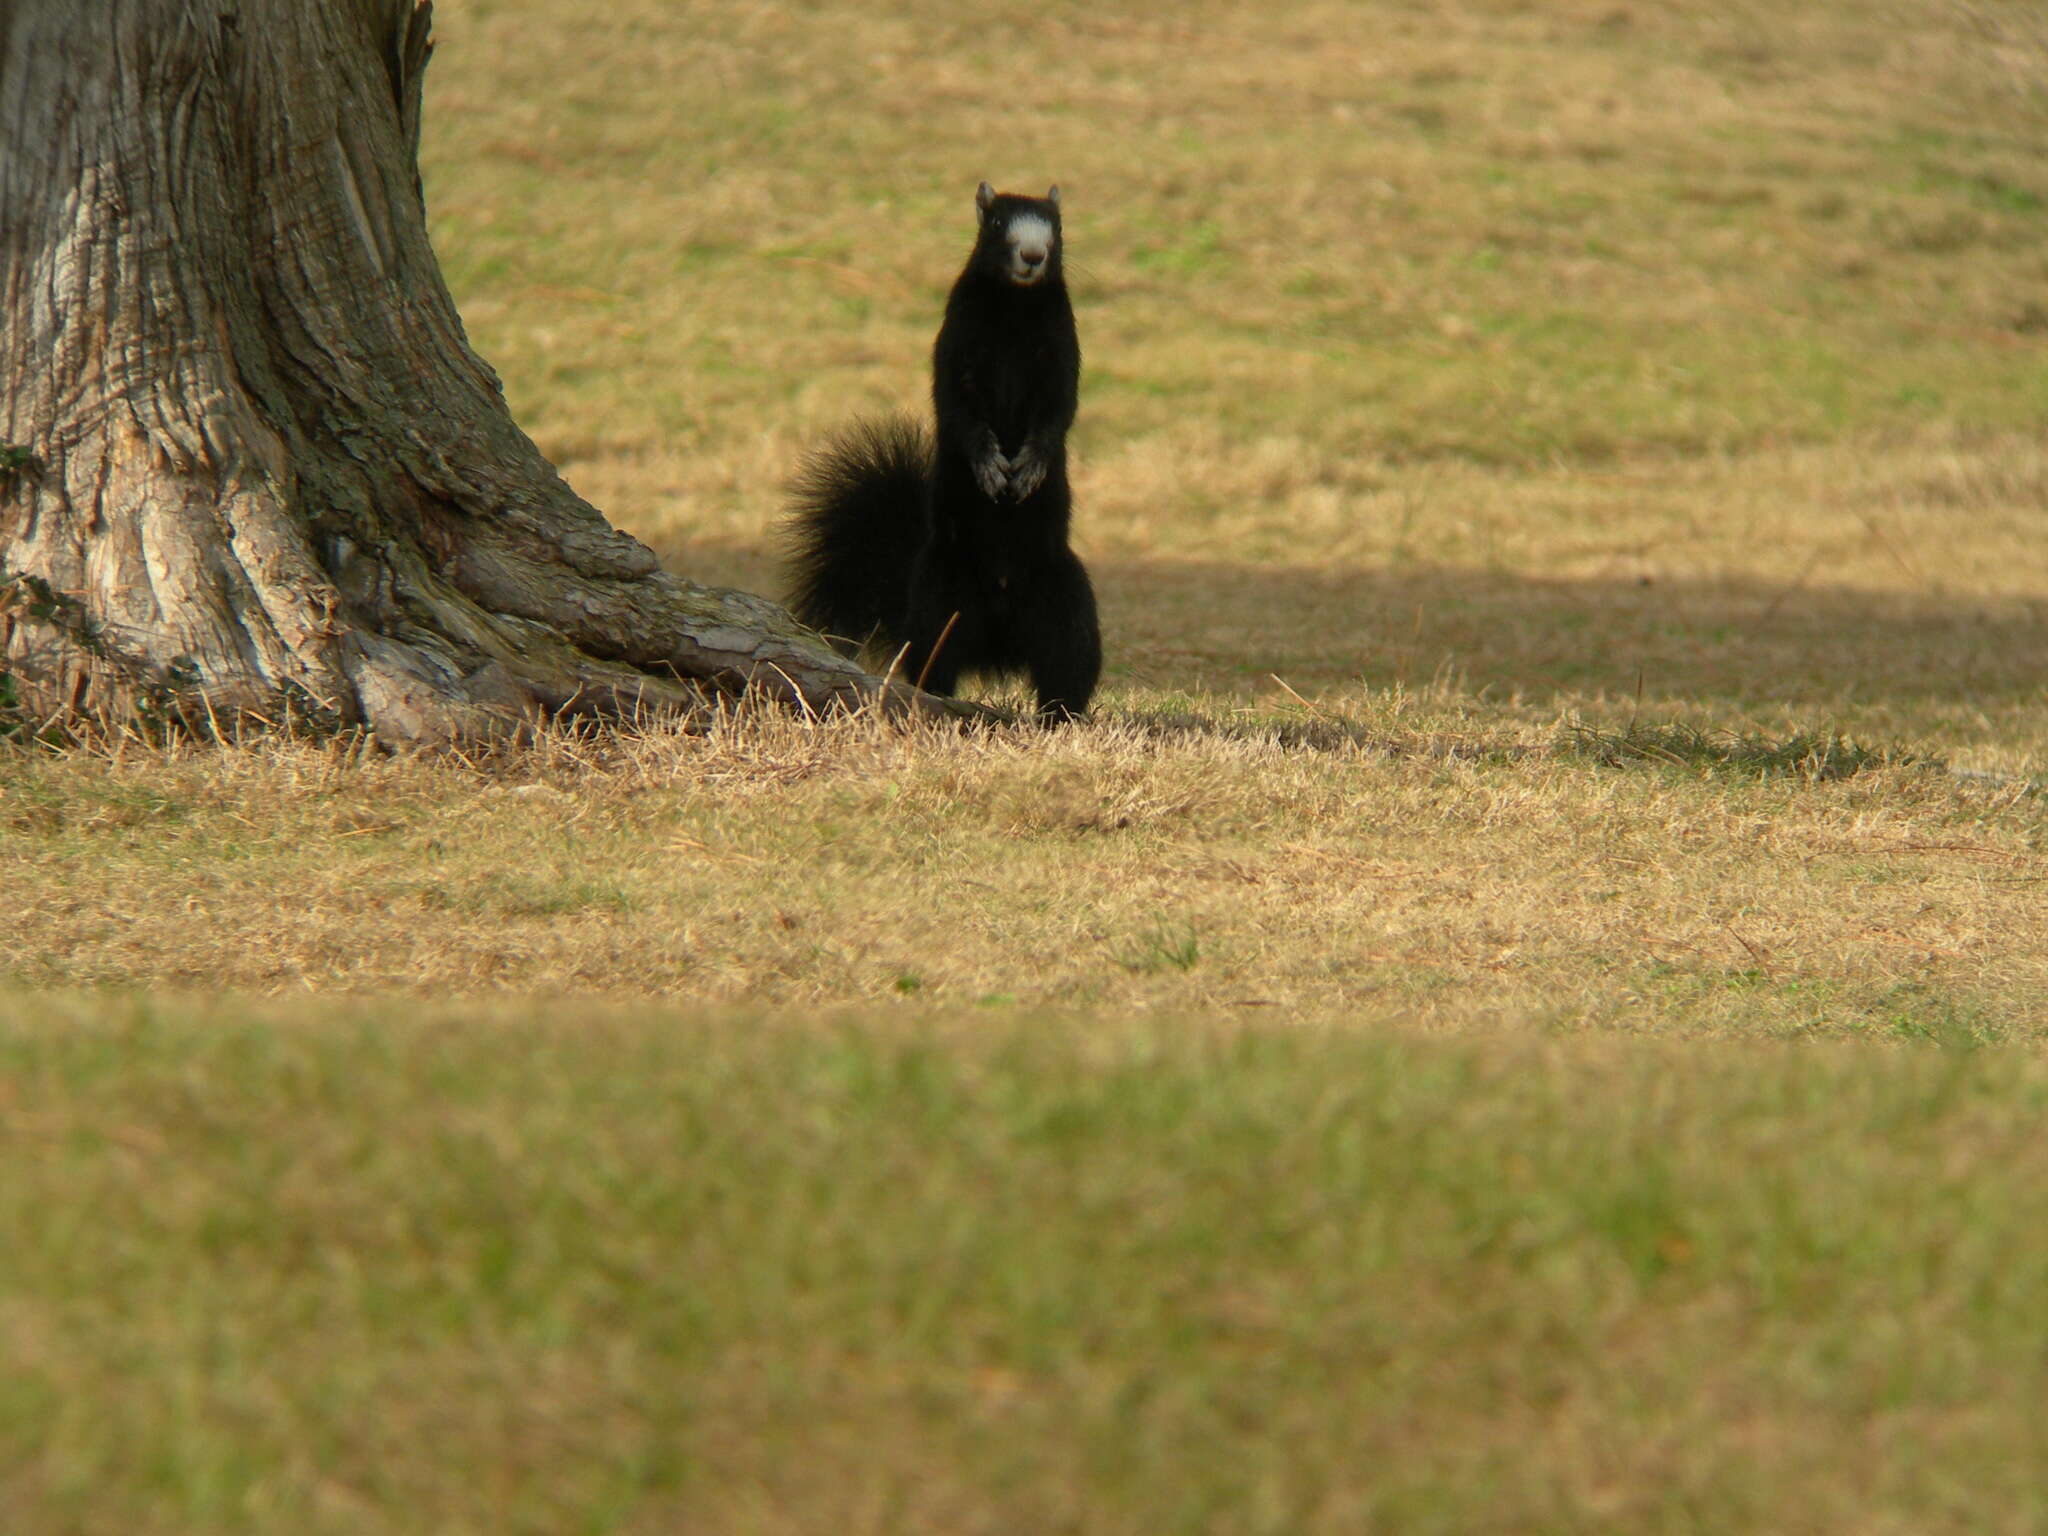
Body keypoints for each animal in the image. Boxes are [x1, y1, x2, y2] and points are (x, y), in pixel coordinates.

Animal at [782, 183, 1105, 724]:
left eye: (1057, 226)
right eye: (995, 224)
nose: (1033, 255)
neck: (1014, 312)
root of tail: (998, 645)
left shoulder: (1062, 351)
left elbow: (1058, 413)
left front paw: (1032, 465)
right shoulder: (955, 346)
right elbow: (958, 412)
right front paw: (990, 466)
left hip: (1068, 607)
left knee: (1067, 671)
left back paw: (1060, 718)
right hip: (939, 602)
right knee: (935, 665)